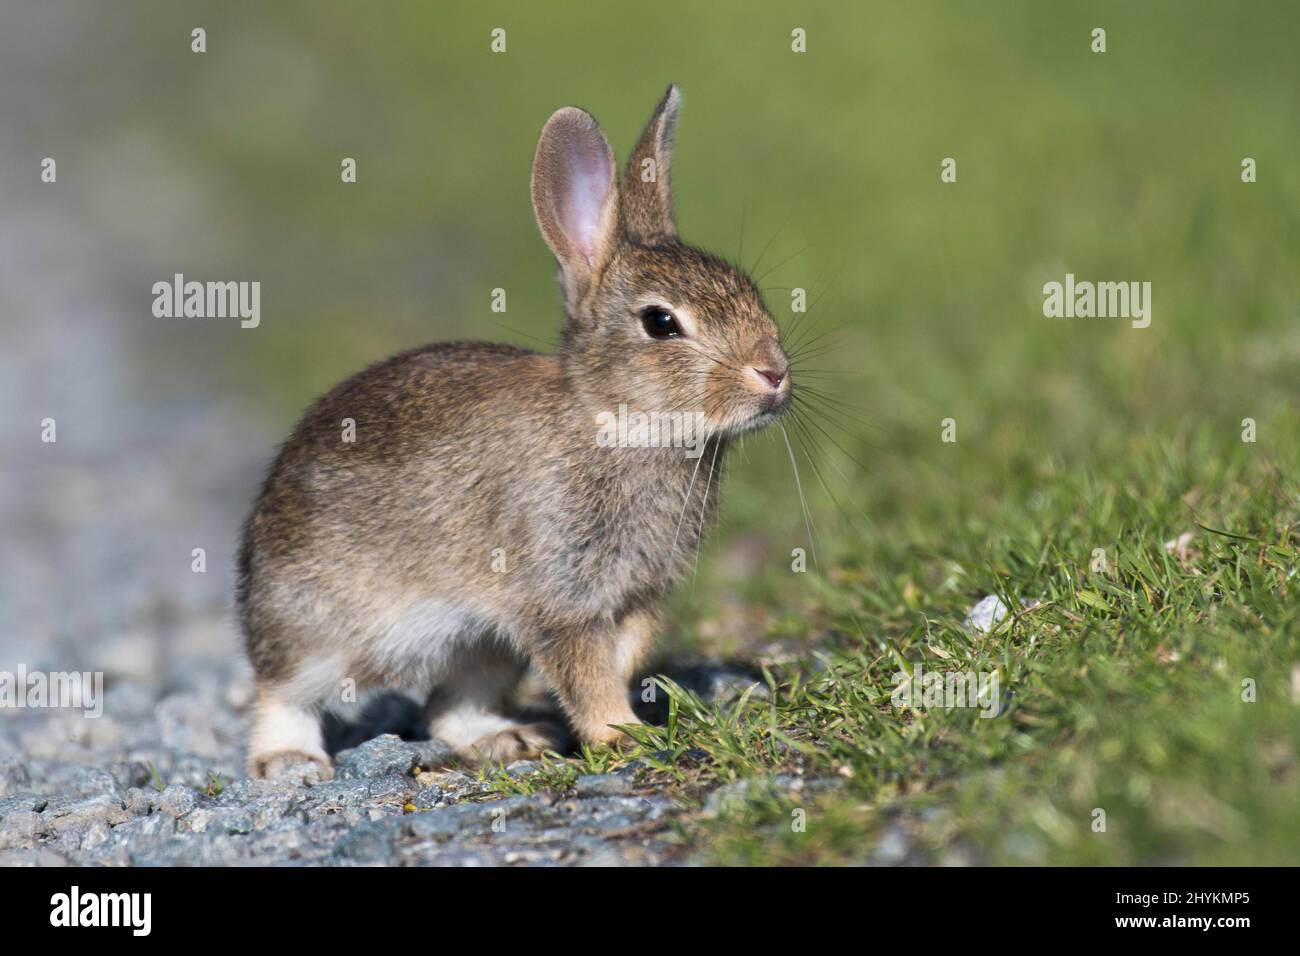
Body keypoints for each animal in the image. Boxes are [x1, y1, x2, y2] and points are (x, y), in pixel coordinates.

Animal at [237, 85, 793, 779]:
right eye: (661, 323)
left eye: (749, 289)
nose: (774, 373)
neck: (616, 420)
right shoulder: (559, 595)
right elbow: (585, 672)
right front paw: (621, 738)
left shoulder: (636, 597)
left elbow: (620, 658)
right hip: (314, 630)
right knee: (280, 692)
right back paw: (290, 760)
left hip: (482, 647)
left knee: (450, 709)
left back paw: (514, 740)